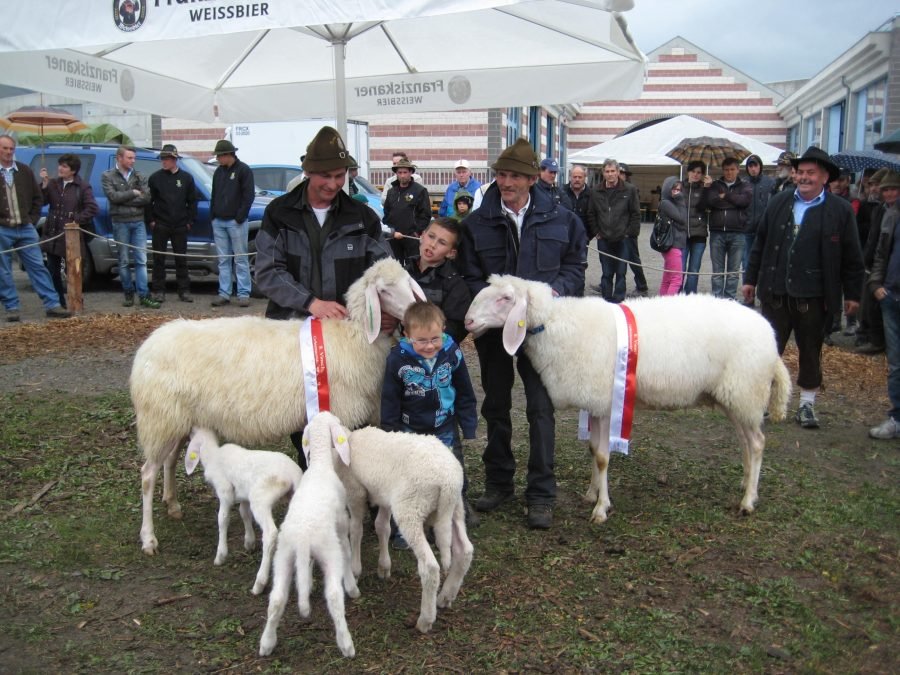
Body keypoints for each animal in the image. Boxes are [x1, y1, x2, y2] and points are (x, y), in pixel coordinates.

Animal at [131, 258, 426, 556]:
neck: (355, 336)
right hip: (158, 418)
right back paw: (148, 538)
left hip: (175, 419)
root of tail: (147, 347)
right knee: (147, 475)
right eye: (384, 291)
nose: (418, 309)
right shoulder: (336, 413)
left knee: (168, 460)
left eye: (407, 281)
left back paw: (172, 504)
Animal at [183, 430, 302, 596]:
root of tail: (292, 474)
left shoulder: (225, 491)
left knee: (270, 533)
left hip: (260, 497)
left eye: (192, 432)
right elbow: (244, 513)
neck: (213, 455)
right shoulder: (243, 495)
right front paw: (249, 542)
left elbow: (222, 519)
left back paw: (259, 583)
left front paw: (220, 555)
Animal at [256, 412, 358, 660]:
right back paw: (346, 644)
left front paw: (308, 582)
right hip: (328, 552)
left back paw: (267, 643)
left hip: (283, 556)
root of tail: (303, 539)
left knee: (276, 599)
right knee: (333, 596)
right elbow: (347, 551)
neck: (320, 464)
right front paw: (352, 585)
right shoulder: (342, 524)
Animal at [336, 426, 474, 636]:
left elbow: (356, 528)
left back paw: (425, 620)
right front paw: (383, 567)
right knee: (464, 551)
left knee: (430, 567)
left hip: (411, 510)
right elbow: (381, 526)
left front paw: (355, 569)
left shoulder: (355, 491)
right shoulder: (384, 496)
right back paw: (446, 596)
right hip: (454, 508)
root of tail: (448, 481)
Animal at [468, 274, 792, 524]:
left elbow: (602, 456)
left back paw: (748, 501)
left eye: (505, 298)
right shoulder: (596, 402)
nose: (468, 321)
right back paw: (747, 483)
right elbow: (592, 450)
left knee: (758, 443)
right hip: (735, 397)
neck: (556, 325)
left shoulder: (604, 402)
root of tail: (771, 338)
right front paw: (592, 494)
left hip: (746, 391)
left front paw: (601, 508)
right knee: (747, 442)